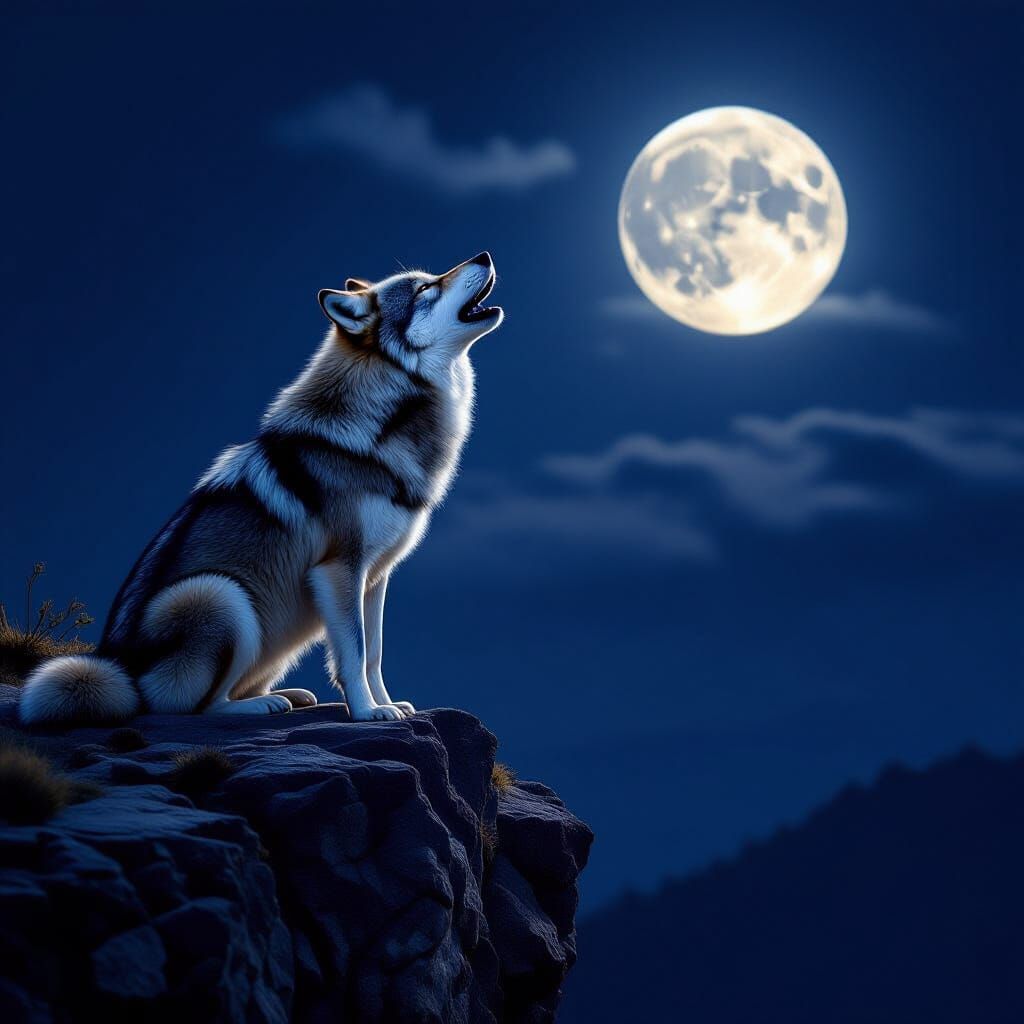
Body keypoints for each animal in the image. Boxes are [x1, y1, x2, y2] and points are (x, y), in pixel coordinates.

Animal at [20, 252, 503, 725]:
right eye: (425, 288)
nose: (483, 254)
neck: (378, 426)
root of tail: (123, 673)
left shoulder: (376, 576)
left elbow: (374, 653)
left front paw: (390, 705)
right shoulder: (339, 568)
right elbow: (354, 652)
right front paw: (367, 712)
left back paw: (289, 695)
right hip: (219, 595)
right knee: (194, 707)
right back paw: (259, 706)